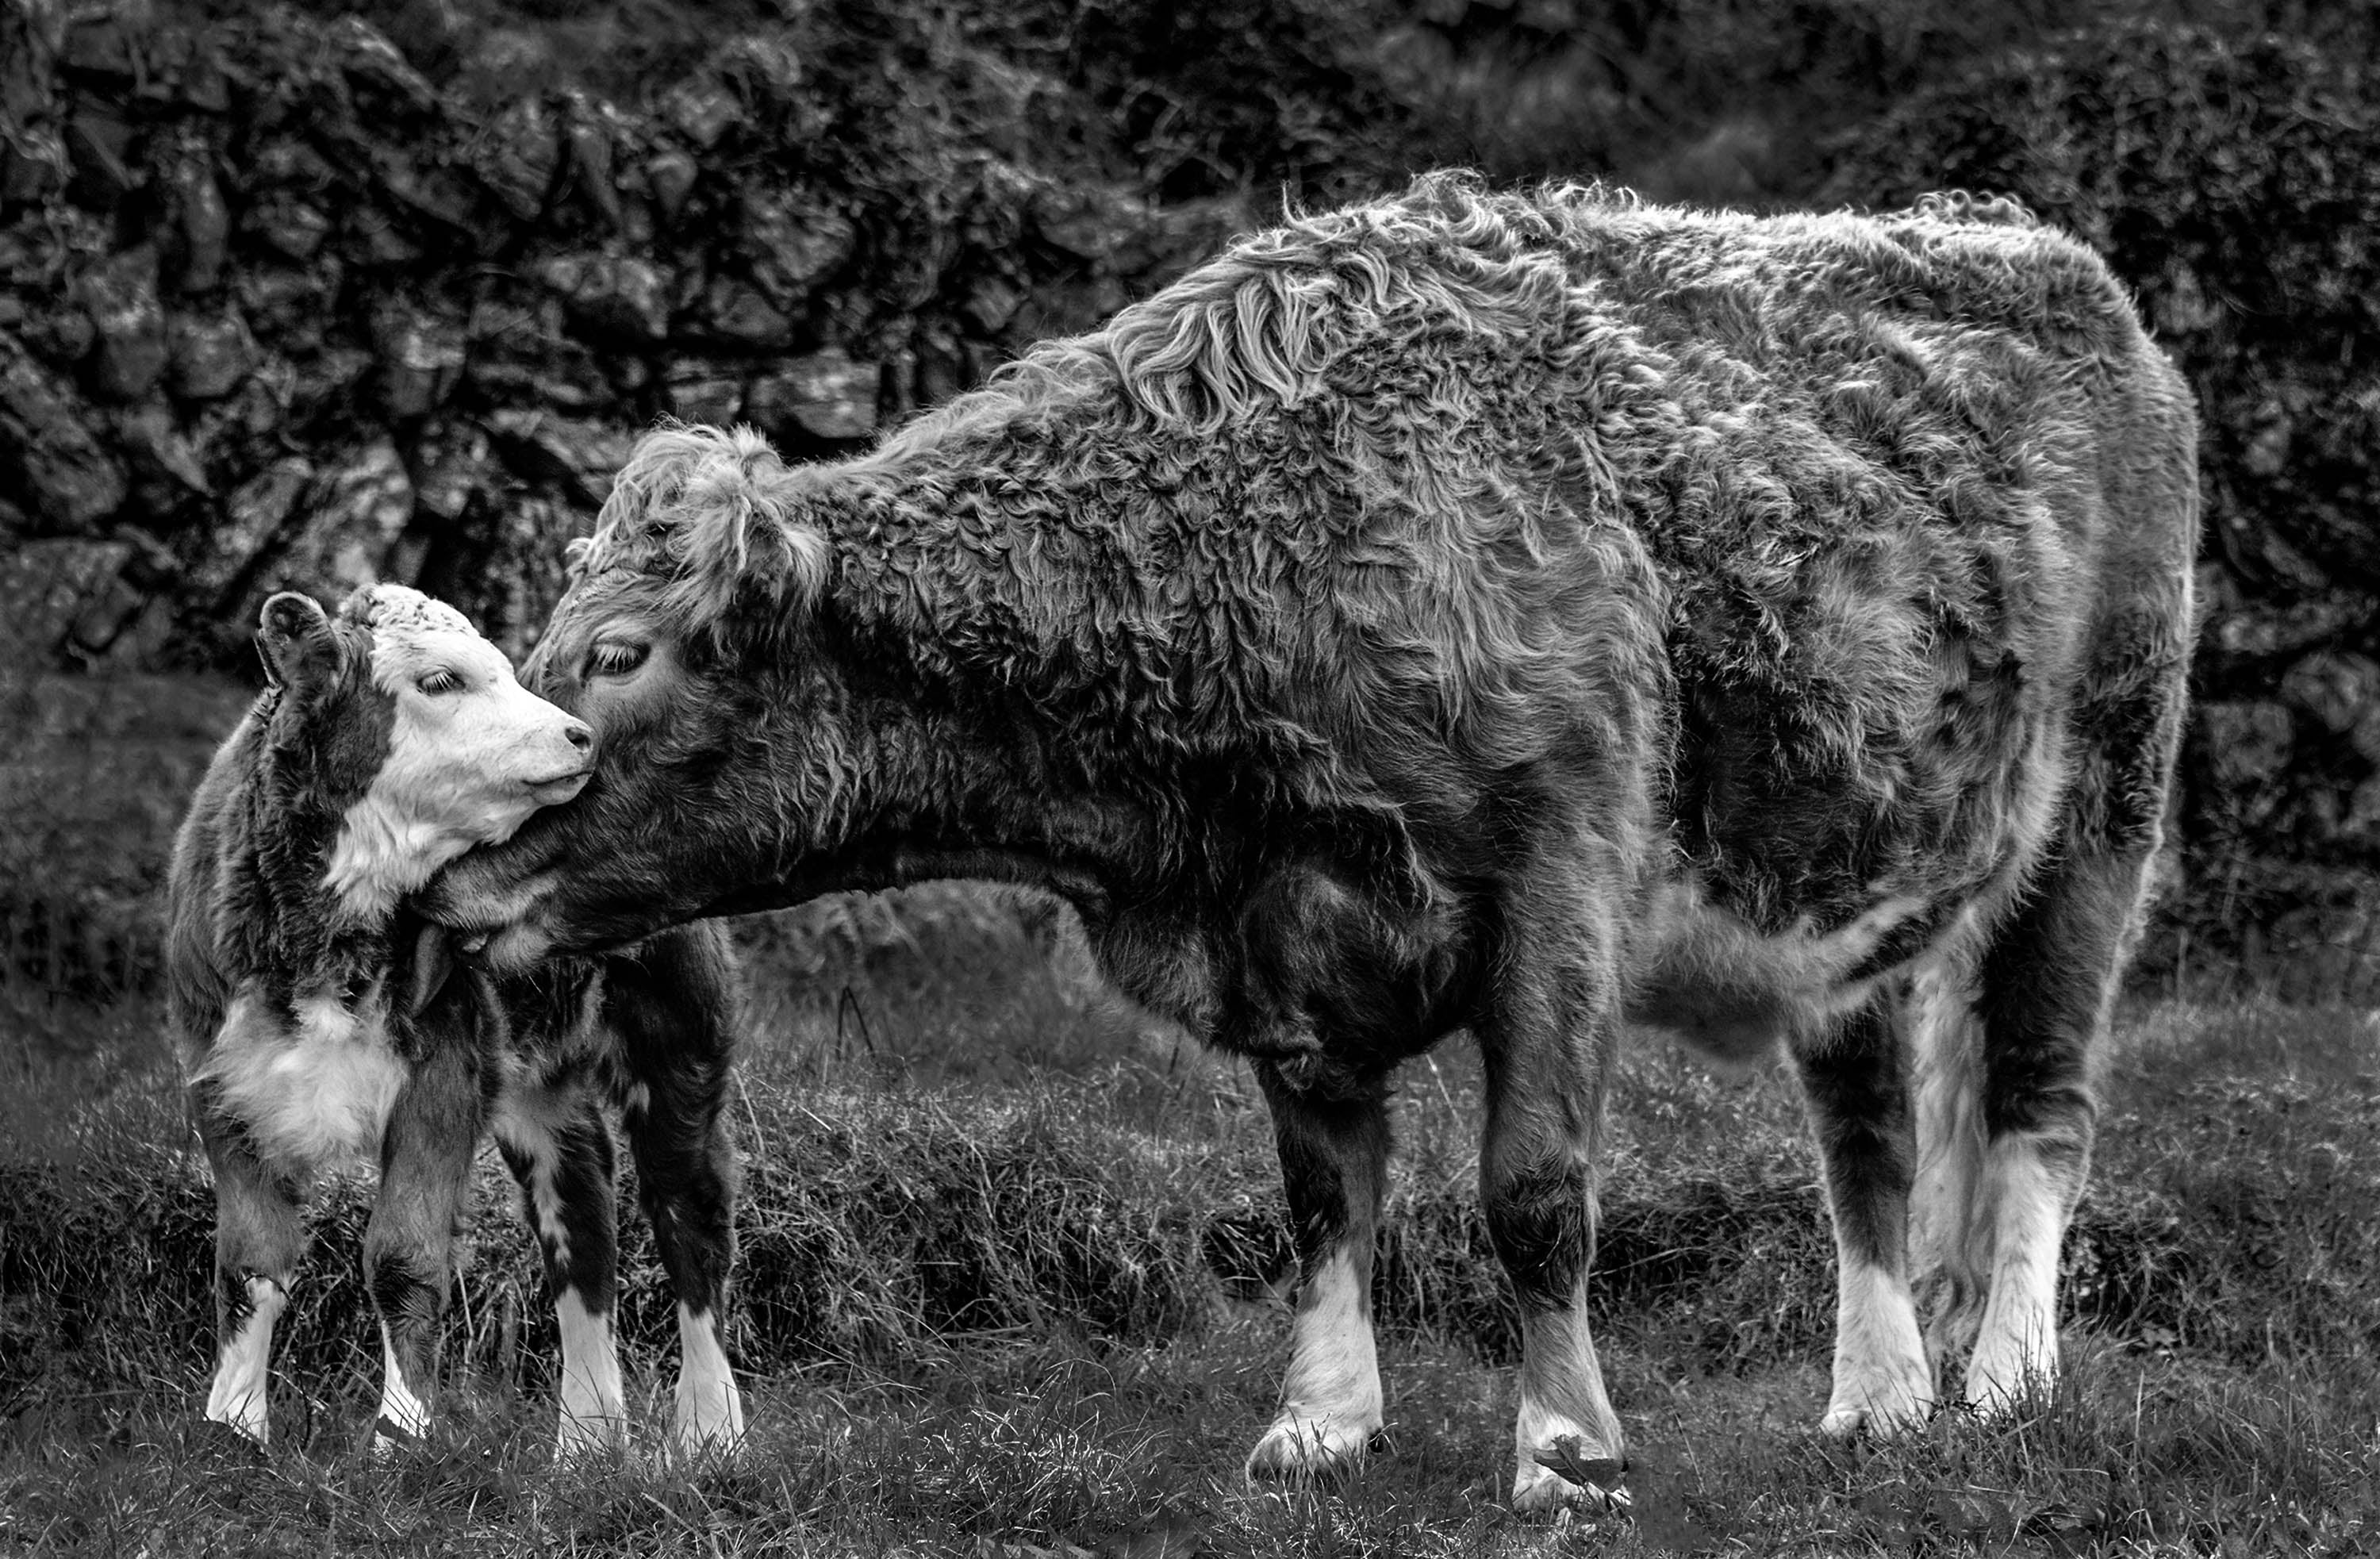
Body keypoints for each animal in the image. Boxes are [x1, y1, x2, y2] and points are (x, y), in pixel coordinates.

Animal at [166, 584, 744, 1460]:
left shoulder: (444, 1074)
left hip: (677, 1040)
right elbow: (247, 1265)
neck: (322, 940)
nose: (577, 735)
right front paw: (232, 1430)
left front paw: (401, 1436)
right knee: (583, 1222)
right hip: (543, 1086)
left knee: (690, 1217)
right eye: (439, 680)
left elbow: (403, 1257)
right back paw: (585, 1445)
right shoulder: (224, 1086)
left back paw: (713, 1435)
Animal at [421, 175, 2199, 1509]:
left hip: (2099, 813)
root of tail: (2044, 258)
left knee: (2038, 1103)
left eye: (618, 656)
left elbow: (1533, 1192)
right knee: (1870, 1137)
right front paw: (1324, 1419)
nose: (445, 870)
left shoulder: (1557, 878)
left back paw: (2005, 1378)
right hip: (1855, 891)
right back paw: (1877, 1395)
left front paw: (1566, 1446)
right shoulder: (1276, 930)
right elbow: (1326, 1191)